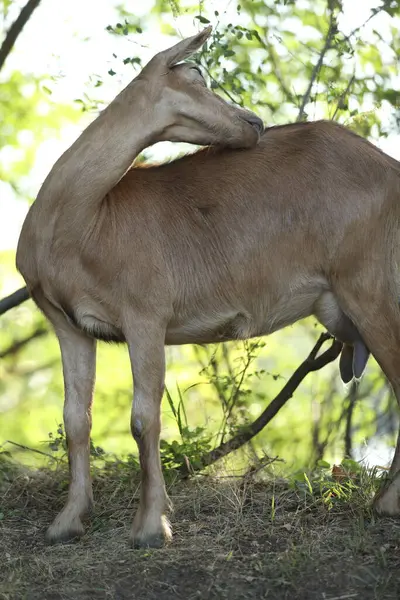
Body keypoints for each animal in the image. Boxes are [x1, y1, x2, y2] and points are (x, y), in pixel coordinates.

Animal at [14, 25, 400, 548]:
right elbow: (76, 419)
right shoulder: (66, 322)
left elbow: (143, 418)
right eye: (196, 72)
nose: (255, 121)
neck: (86, 221)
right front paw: (67, 521)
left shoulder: (145, 313)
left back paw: (386, 504)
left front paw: (151, 526)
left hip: (370, 282)